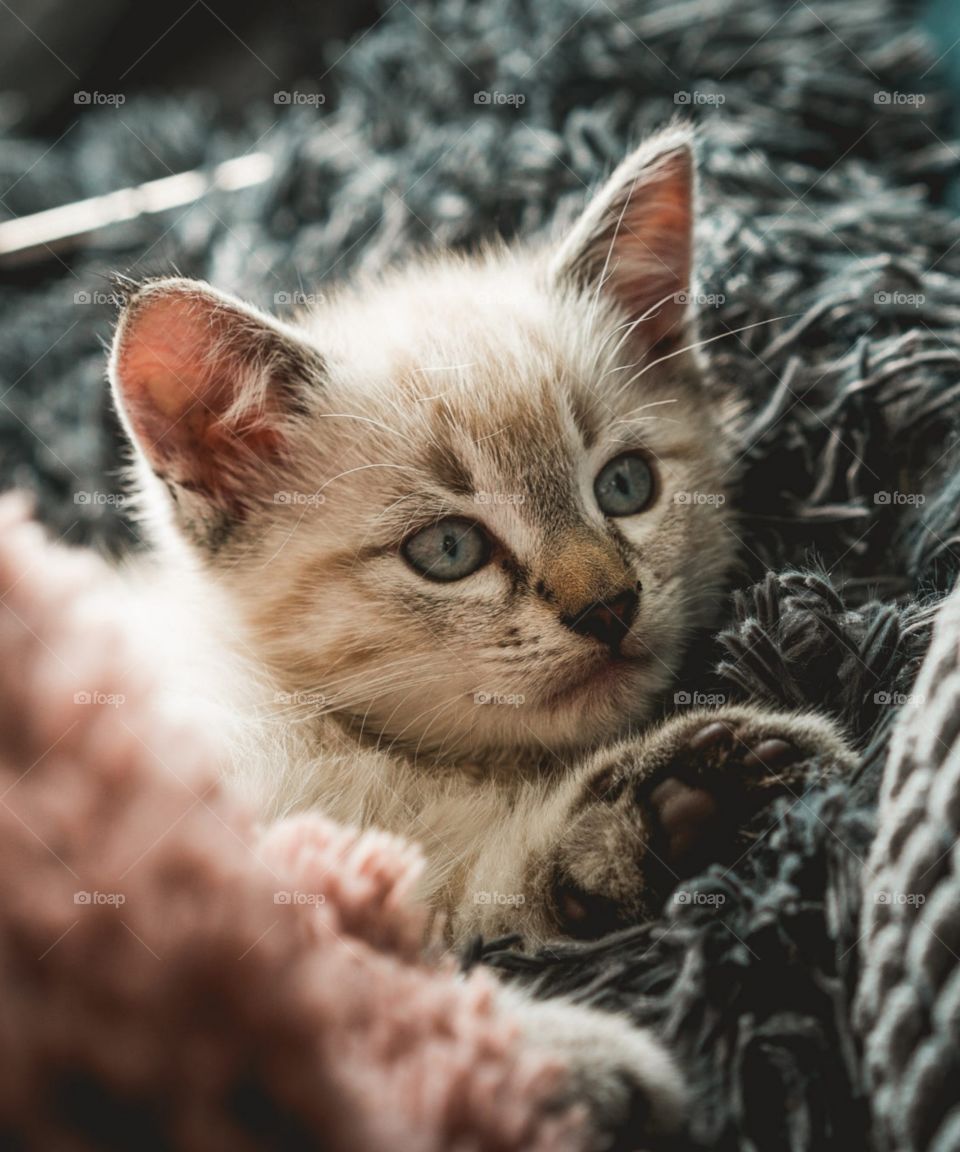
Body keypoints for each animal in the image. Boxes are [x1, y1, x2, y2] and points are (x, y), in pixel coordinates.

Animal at [108, 128, 848, 1142]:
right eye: (448, 550)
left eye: (626, 486)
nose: (607, 603)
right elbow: (313, 988)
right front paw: (548, 1070)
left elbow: (454, 889)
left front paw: (673, 803)